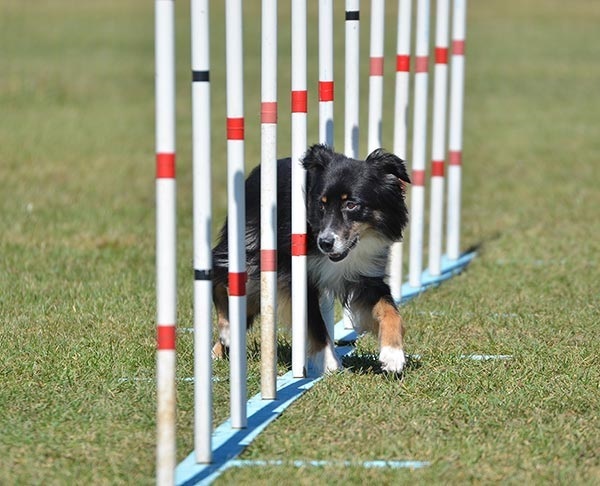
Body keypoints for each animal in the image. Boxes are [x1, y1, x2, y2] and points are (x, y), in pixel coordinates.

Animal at [209, 143, 410, 372]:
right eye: (321, 204)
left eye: (351, 204)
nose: (325, 243)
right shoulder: (297, 276)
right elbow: (315, 322)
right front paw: (330, 363)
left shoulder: (367, 276)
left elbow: (390, 310)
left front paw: (393, 355)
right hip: (249, 247)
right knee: (218, 274)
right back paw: (226, 331)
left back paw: (221, 349)